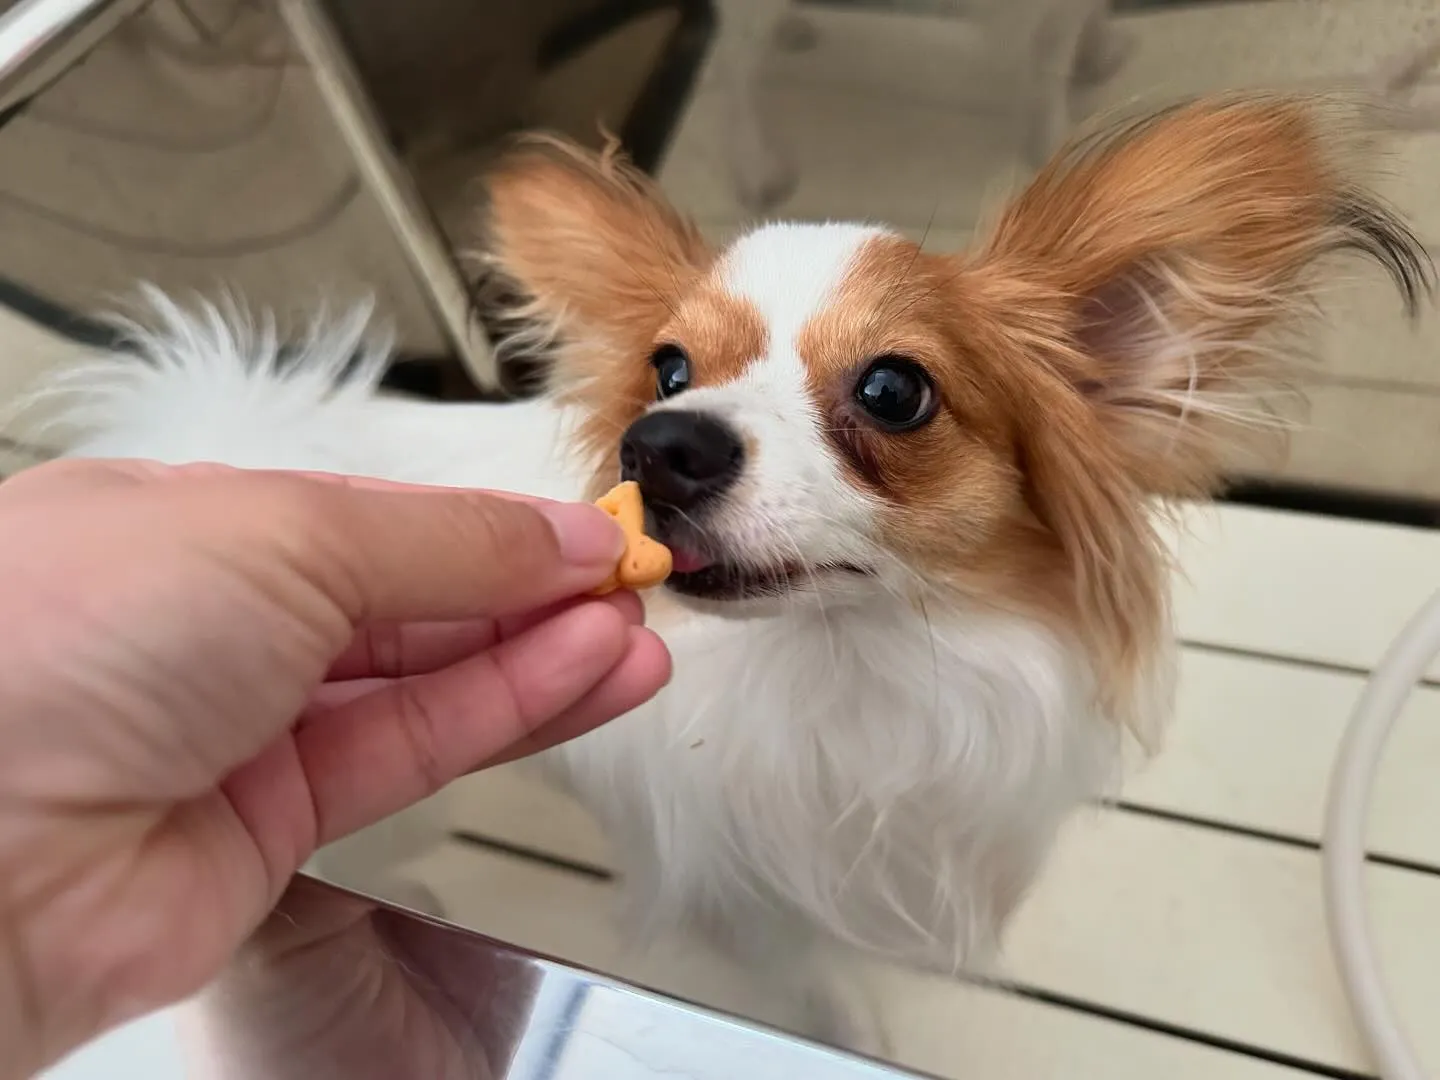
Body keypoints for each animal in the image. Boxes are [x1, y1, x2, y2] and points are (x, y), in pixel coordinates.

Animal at [42, 92, 1428, 1059]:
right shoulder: (738, 887)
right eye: (666, 370)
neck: (853, 665)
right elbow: (803, 967)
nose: (660, 445)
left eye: (895, 389)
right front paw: (848, 1020)